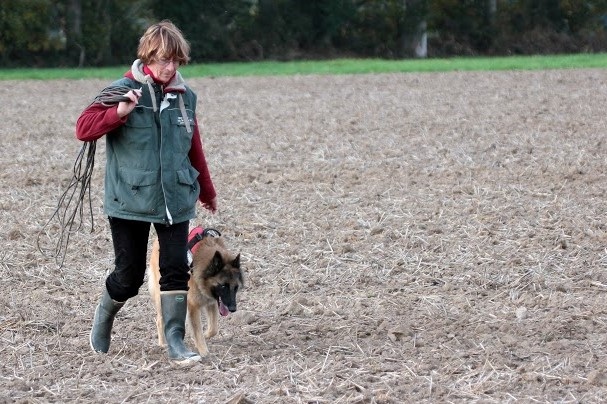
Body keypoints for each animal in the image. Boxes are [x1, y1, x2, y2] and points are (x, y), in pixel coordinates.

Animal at [147, 227, 242, 356]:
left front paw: (206, 335)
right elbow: (197, 331)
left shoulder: (211, 302)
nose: (233, 309)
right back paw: (163, 344)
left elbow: (213, 329)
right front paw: (204, 353)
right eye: (223, 286)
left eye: (236, 287)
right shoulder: (193, 306)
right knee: (160, 320)